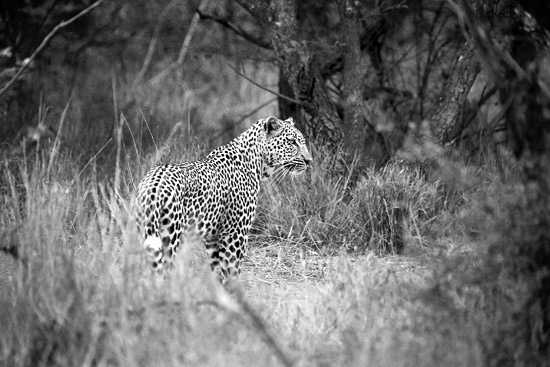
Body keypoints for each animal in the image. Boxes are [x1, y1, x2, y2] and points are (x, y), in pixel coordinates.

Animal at [136, 118, 312, 282]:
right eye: (292, 142)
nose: (309, 161)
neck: (257, 164)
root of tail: (152, 185)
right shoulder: (235, 235)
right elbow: (233, 271)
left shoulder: (213, 238)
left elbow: (218, 272)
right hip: (170, 237)